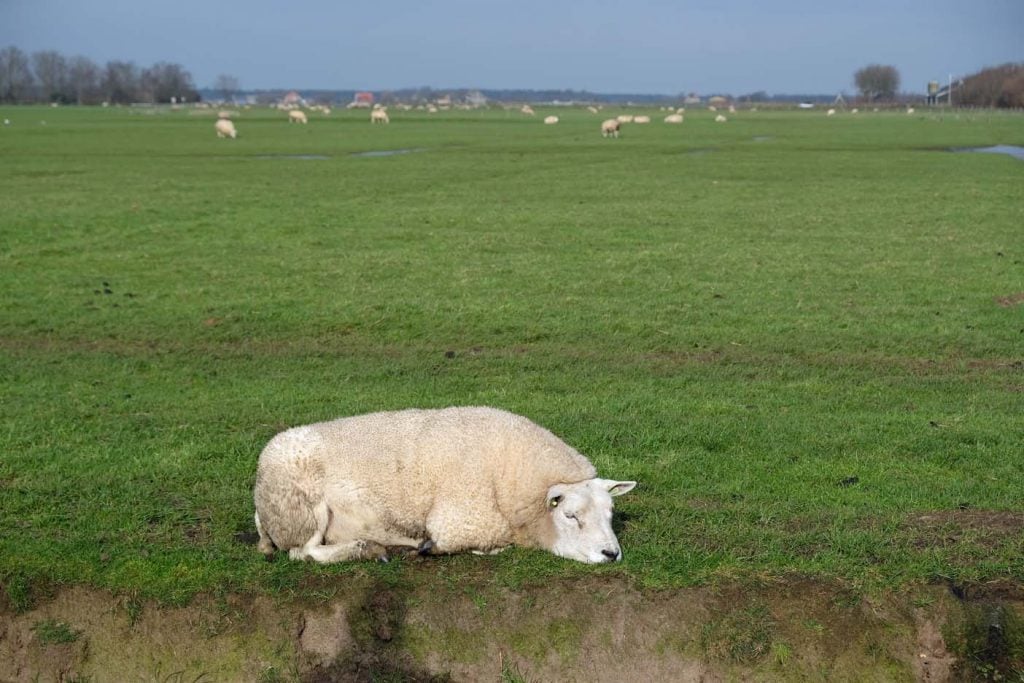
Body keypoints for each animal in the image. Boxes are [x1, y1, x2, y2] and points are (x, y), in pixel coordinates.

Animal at [253, 409, 638, 565]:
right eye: (571, 516)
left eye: (611, 514)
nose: (611, 554)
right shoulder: (460, 518)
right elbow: (454, 540)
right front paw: (429, 548)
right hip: (301, 509)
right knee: (305, 553)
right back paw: (368, 549)